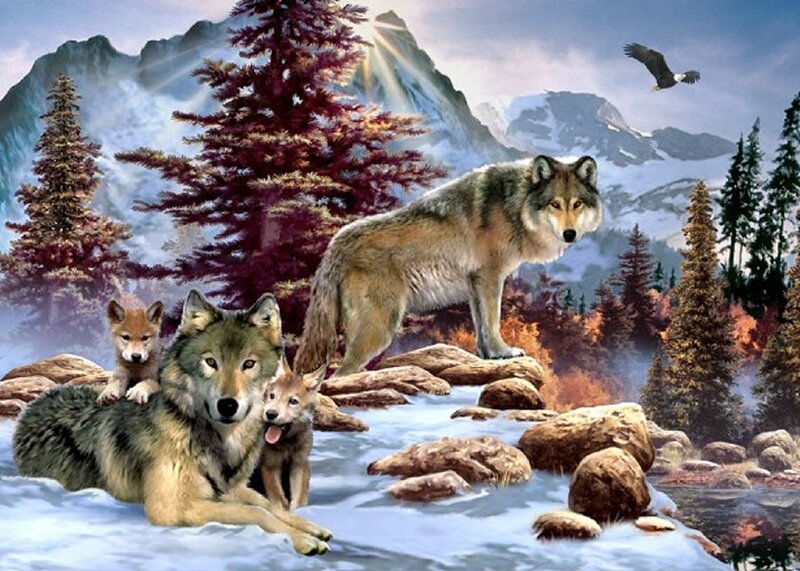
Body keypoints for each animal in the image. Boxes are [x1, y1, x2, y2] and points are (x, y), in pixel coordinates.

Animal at [251, 355, 326, 511]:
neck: (287, 443)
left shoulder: (299, 464)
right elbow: (278, 498)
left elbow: (299, 499)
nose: (270, 414)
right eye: (272, 396)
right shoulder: (270, 465)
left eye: (293, 401)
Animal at [294, 155, 602, 376]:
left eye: (577, 204)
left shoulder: (476, 286)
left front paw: (489, 355)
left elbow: (482, 326)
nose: (570, 234)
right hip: (380, 330)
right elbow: (493, 321)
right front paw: (504, 351)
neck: (513, 207)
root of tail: (335, 244)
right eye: (554, 204)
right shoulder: (490, 278)